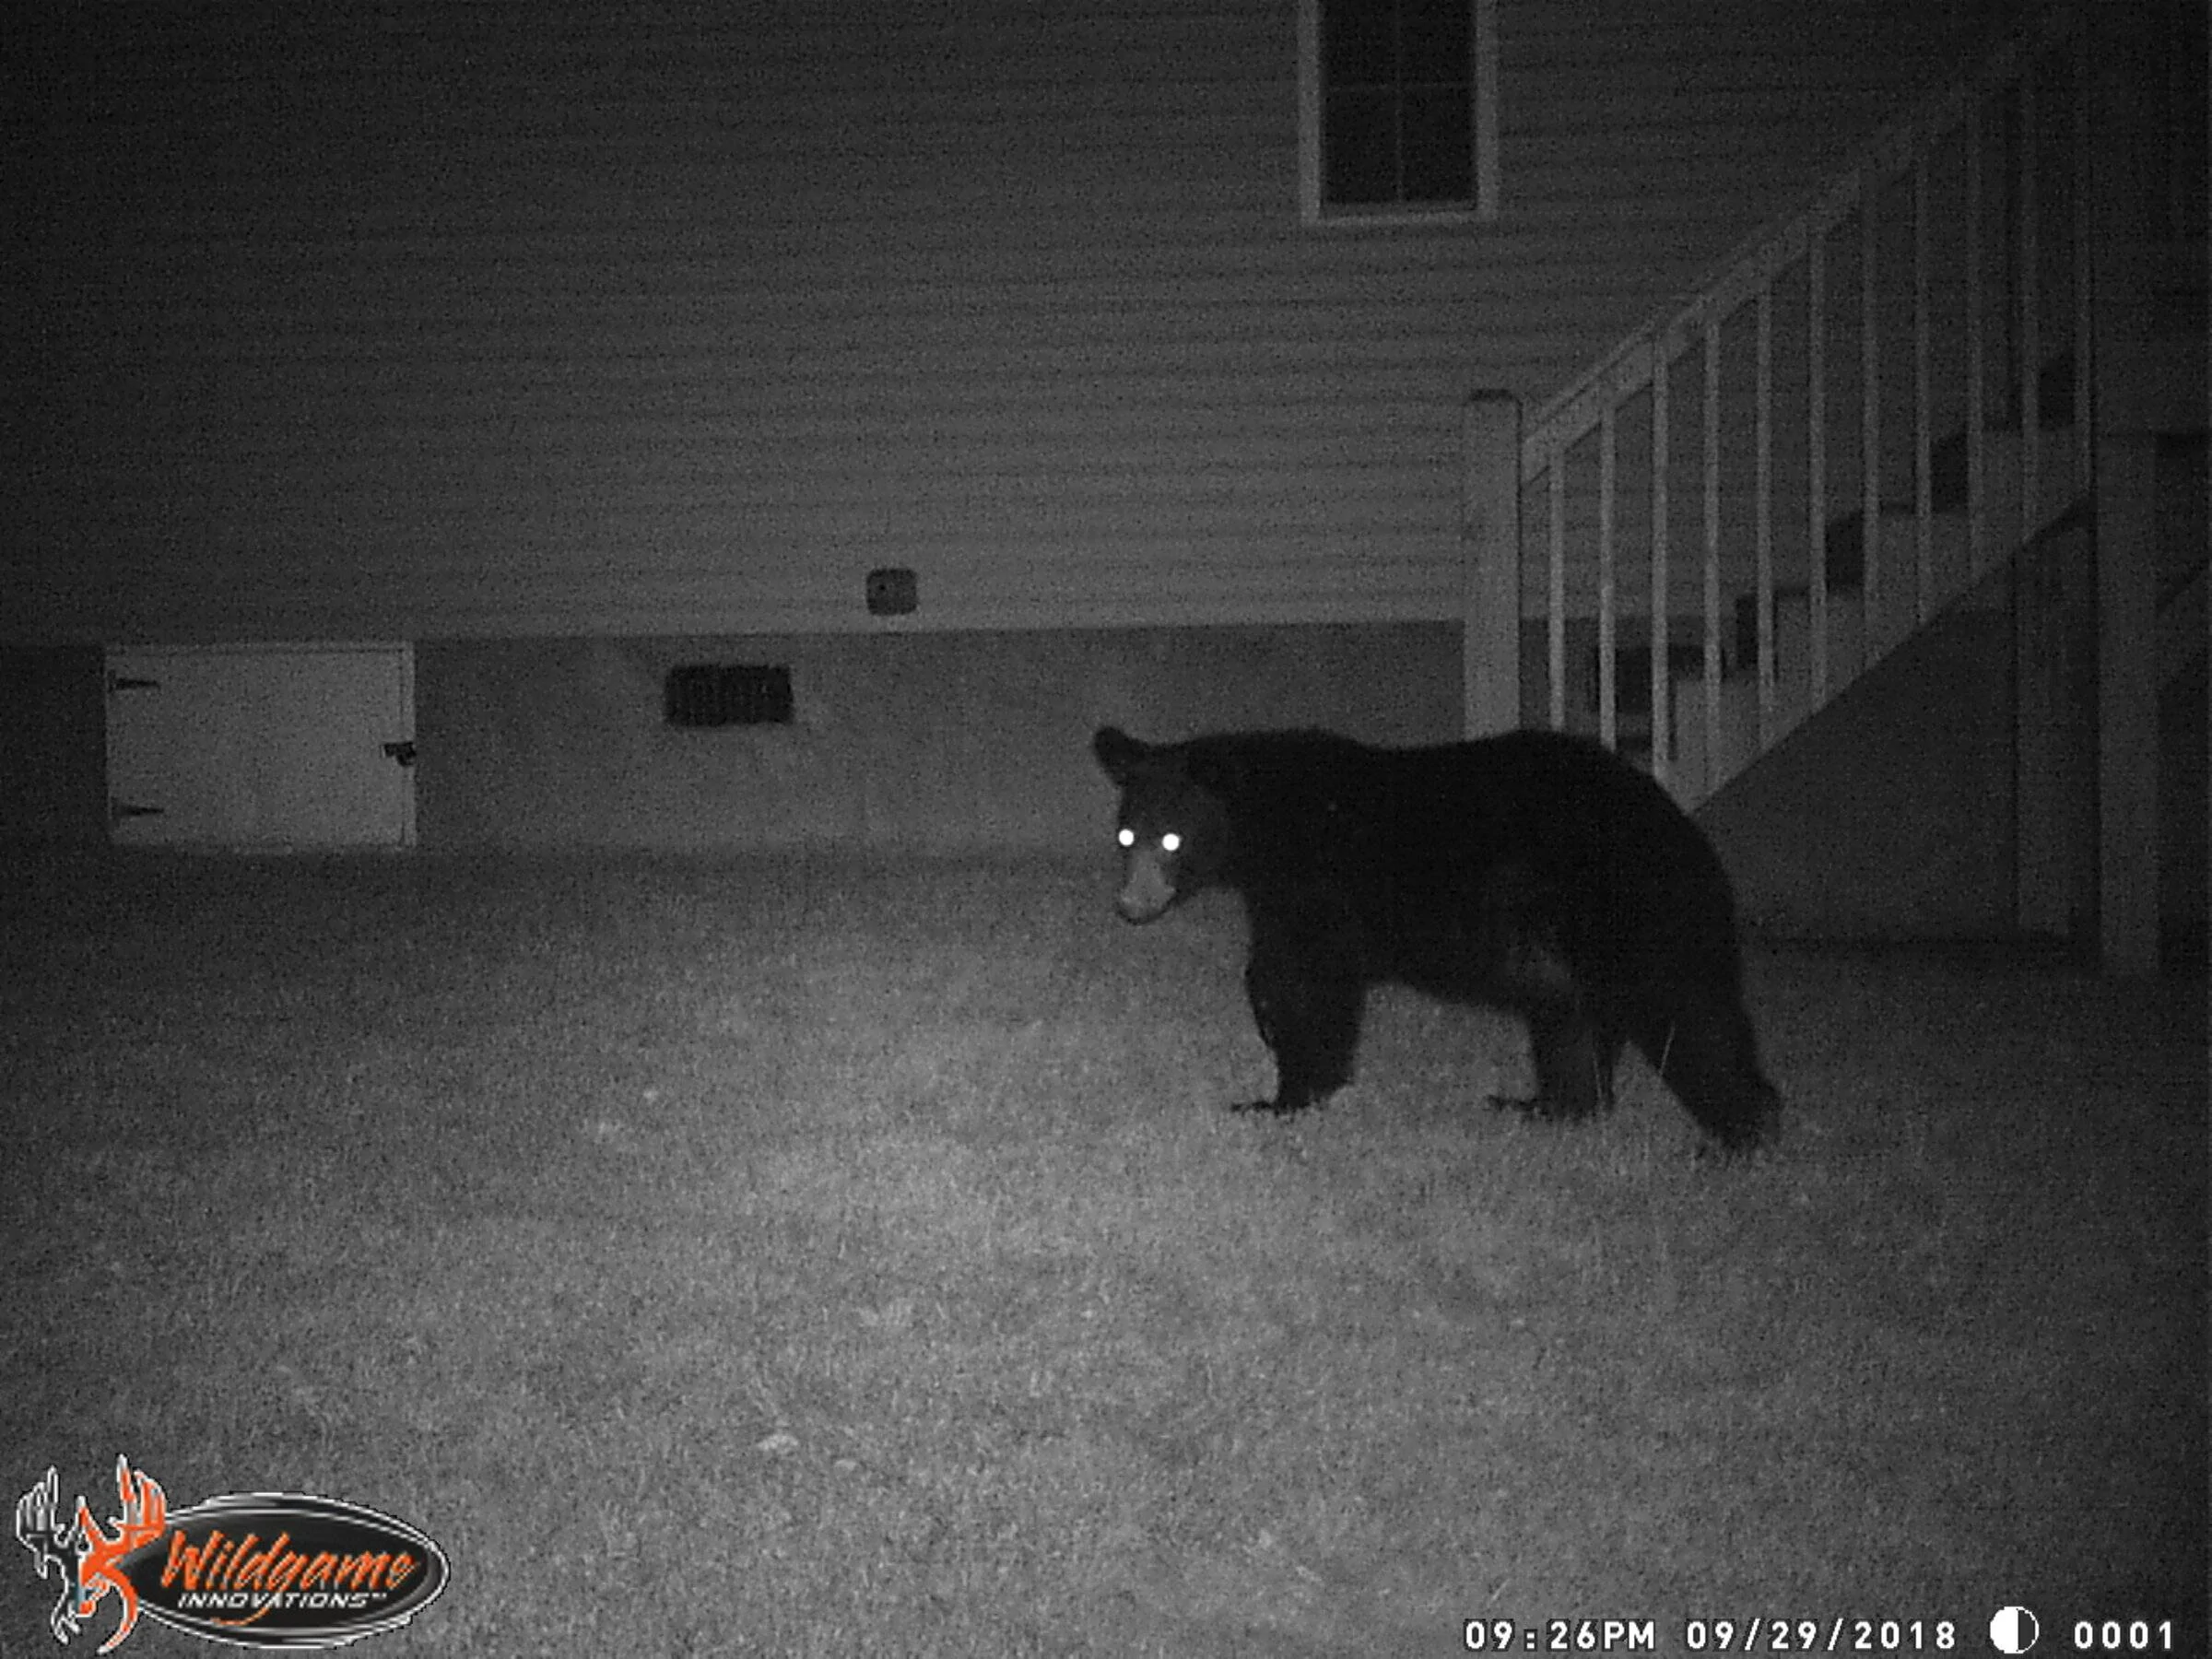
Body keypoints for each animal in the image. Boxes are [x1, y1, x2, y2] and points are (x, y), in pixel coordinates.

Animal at [1091, 724, 1779, 1154]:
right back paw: (1541, 1107)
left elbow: (1310, 981)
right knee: (1570, 1026)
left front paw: (1283, 1096)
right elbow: (1278, 964)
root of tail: (1686, 831)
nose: (1130, 906)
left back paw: (1737, 1138)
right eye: (1126, 837)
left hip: (1631, 916)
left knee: (1688, 1018)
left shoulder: (1319, 882)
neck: (1265, 823)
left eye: (1172, 840)